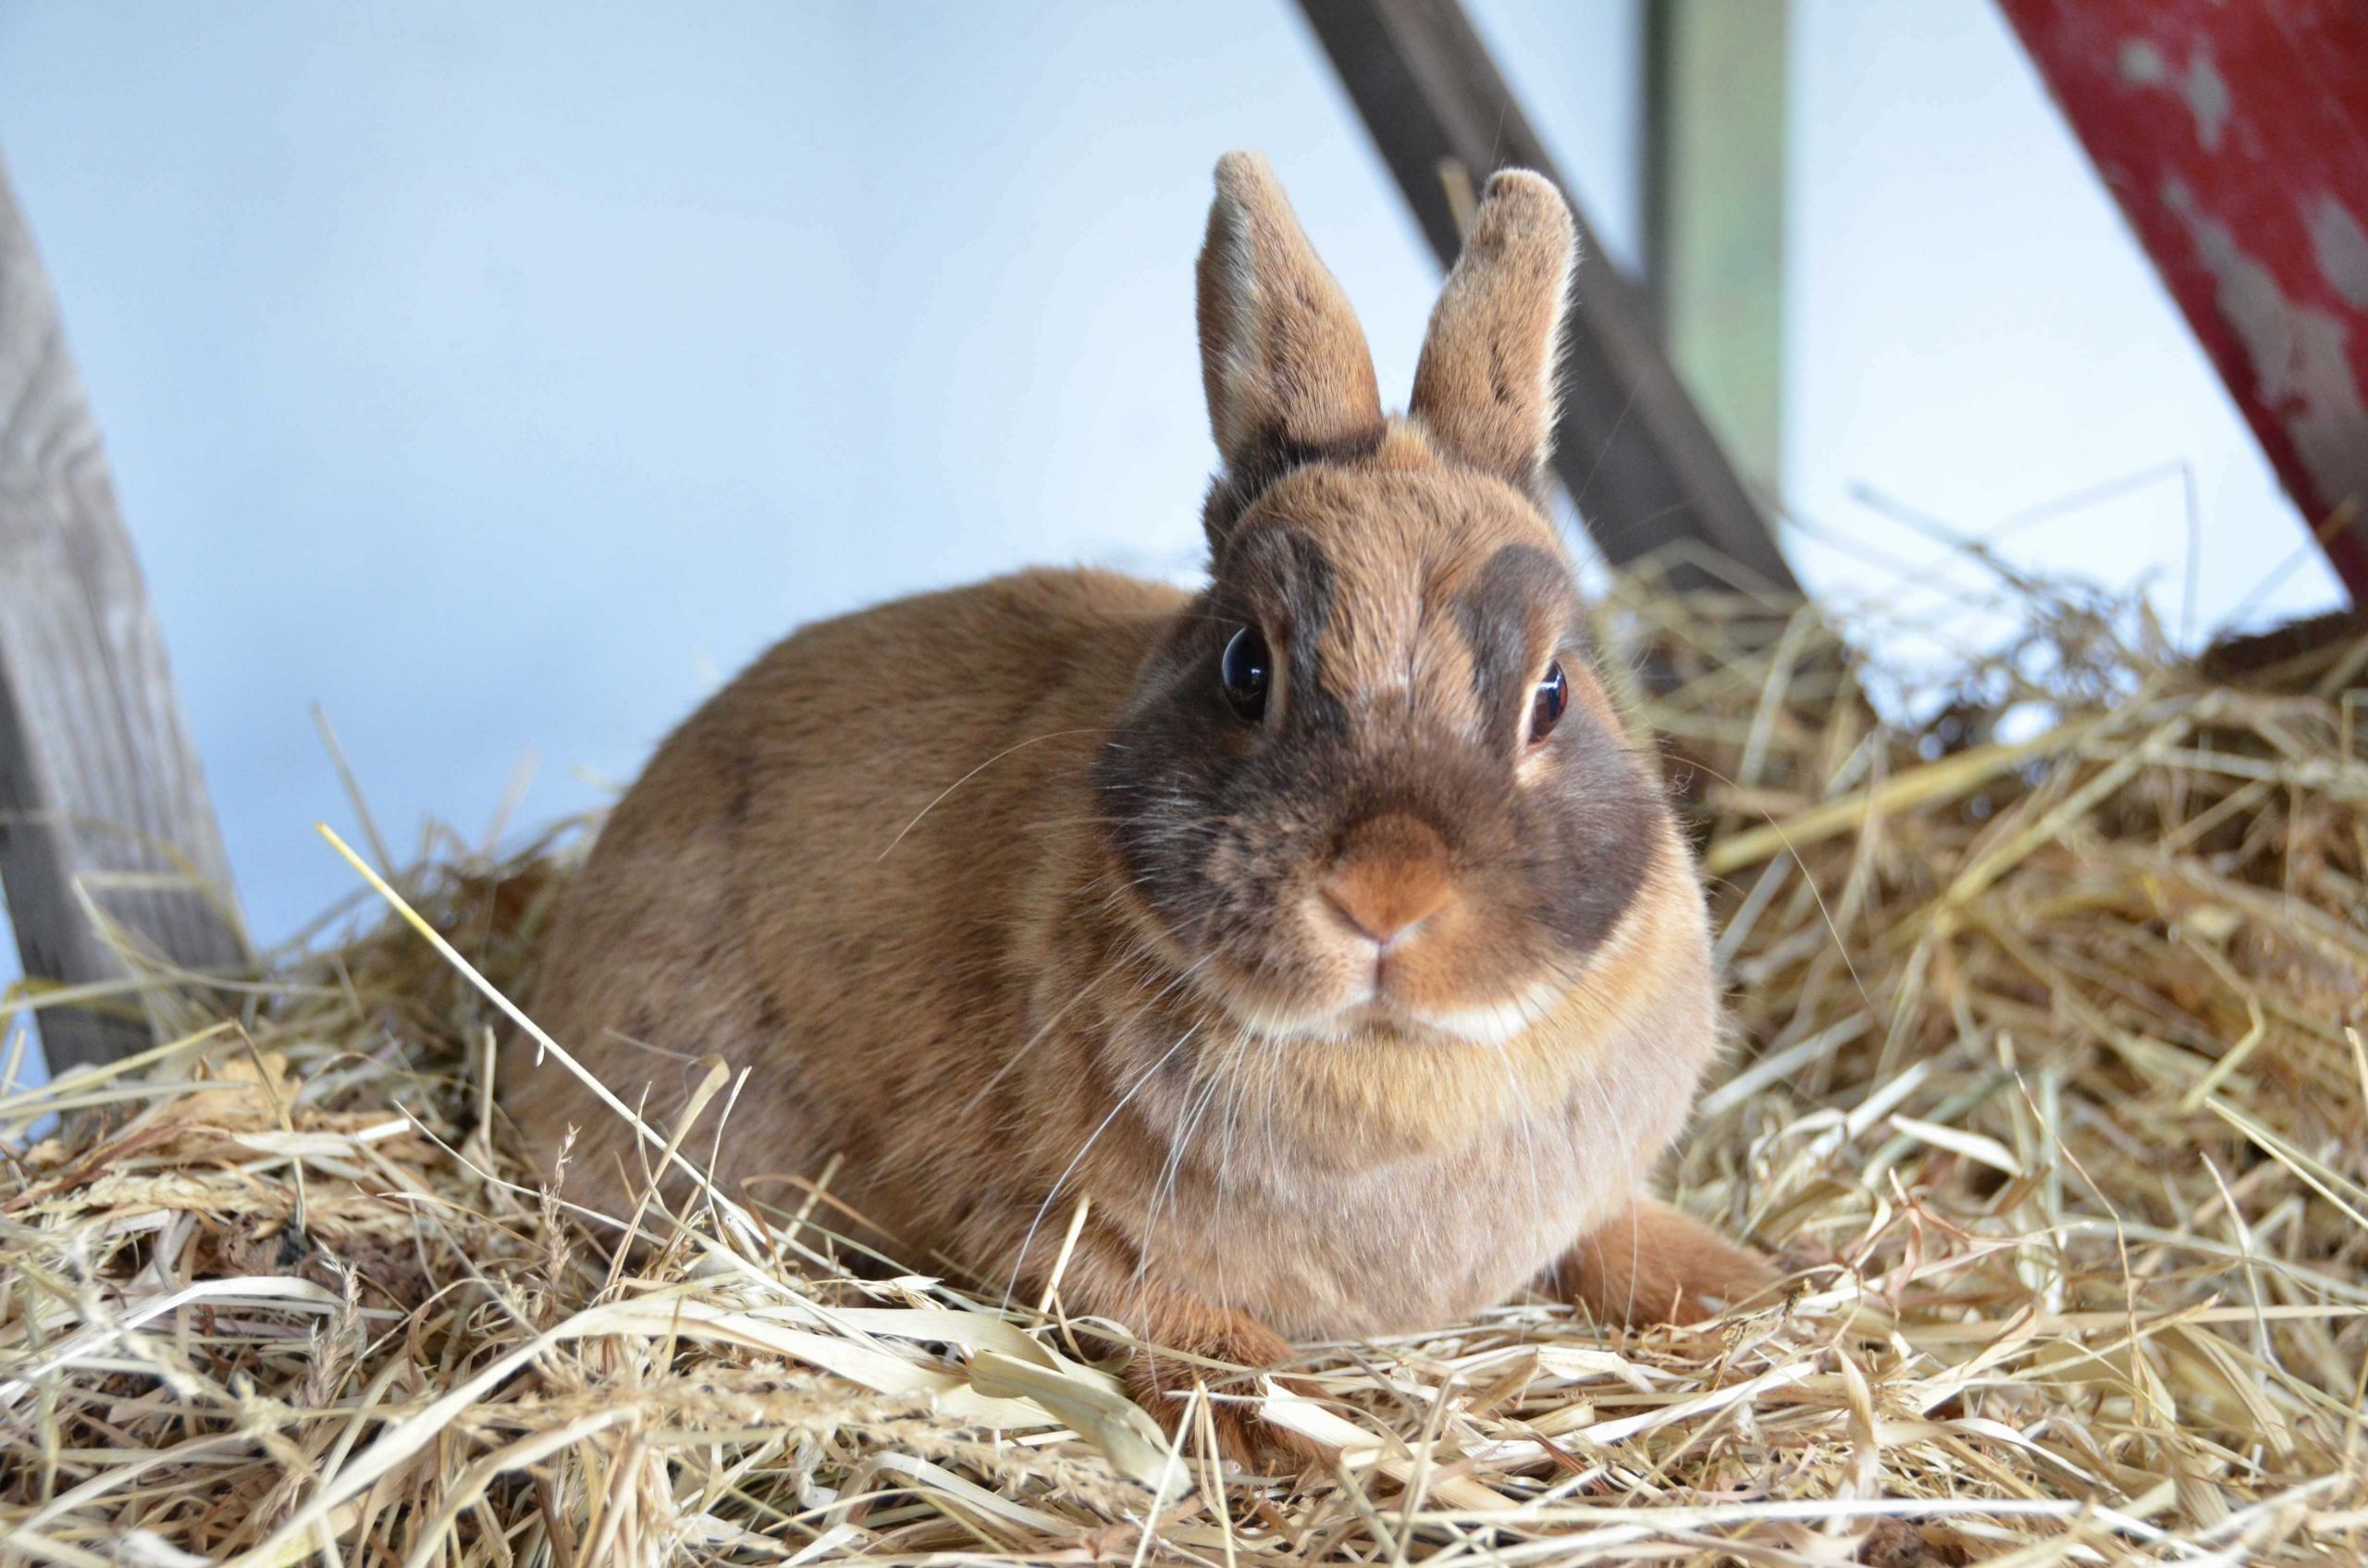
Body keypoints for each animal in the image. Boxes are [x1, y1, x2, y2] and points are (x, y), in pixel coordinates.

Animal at [500, 154, 1770, 1477]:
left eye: (1552, 694)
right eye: (1246, 668)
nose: (1386, 894)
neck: (1394, 1066)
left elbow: (1617, 1235)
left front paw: (1750, 1286)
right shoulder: (1054, 1235)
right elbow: (1185, 1331)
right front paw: (1302, 1437)